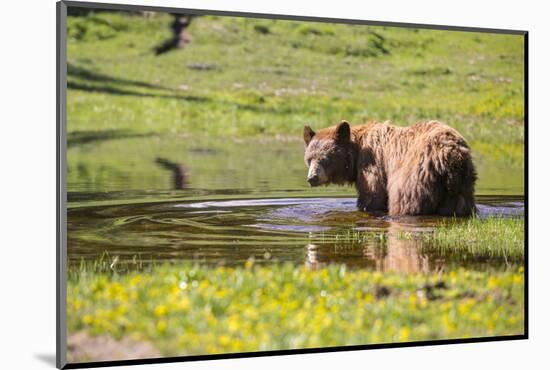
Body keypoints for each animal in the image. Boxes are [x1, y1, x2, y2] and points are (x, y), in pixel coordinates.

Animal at [306, 118, 478, 217]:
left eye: (324, 158)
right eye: (309, 159)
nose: (312, 178)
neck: (356, 151)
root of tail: (450, 154)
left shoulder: (371, 163)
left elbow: (372, 194)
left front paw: (366, 208)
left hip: (416, 173)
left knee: (406, 200)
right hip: (462, 182)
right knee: (459, 204)